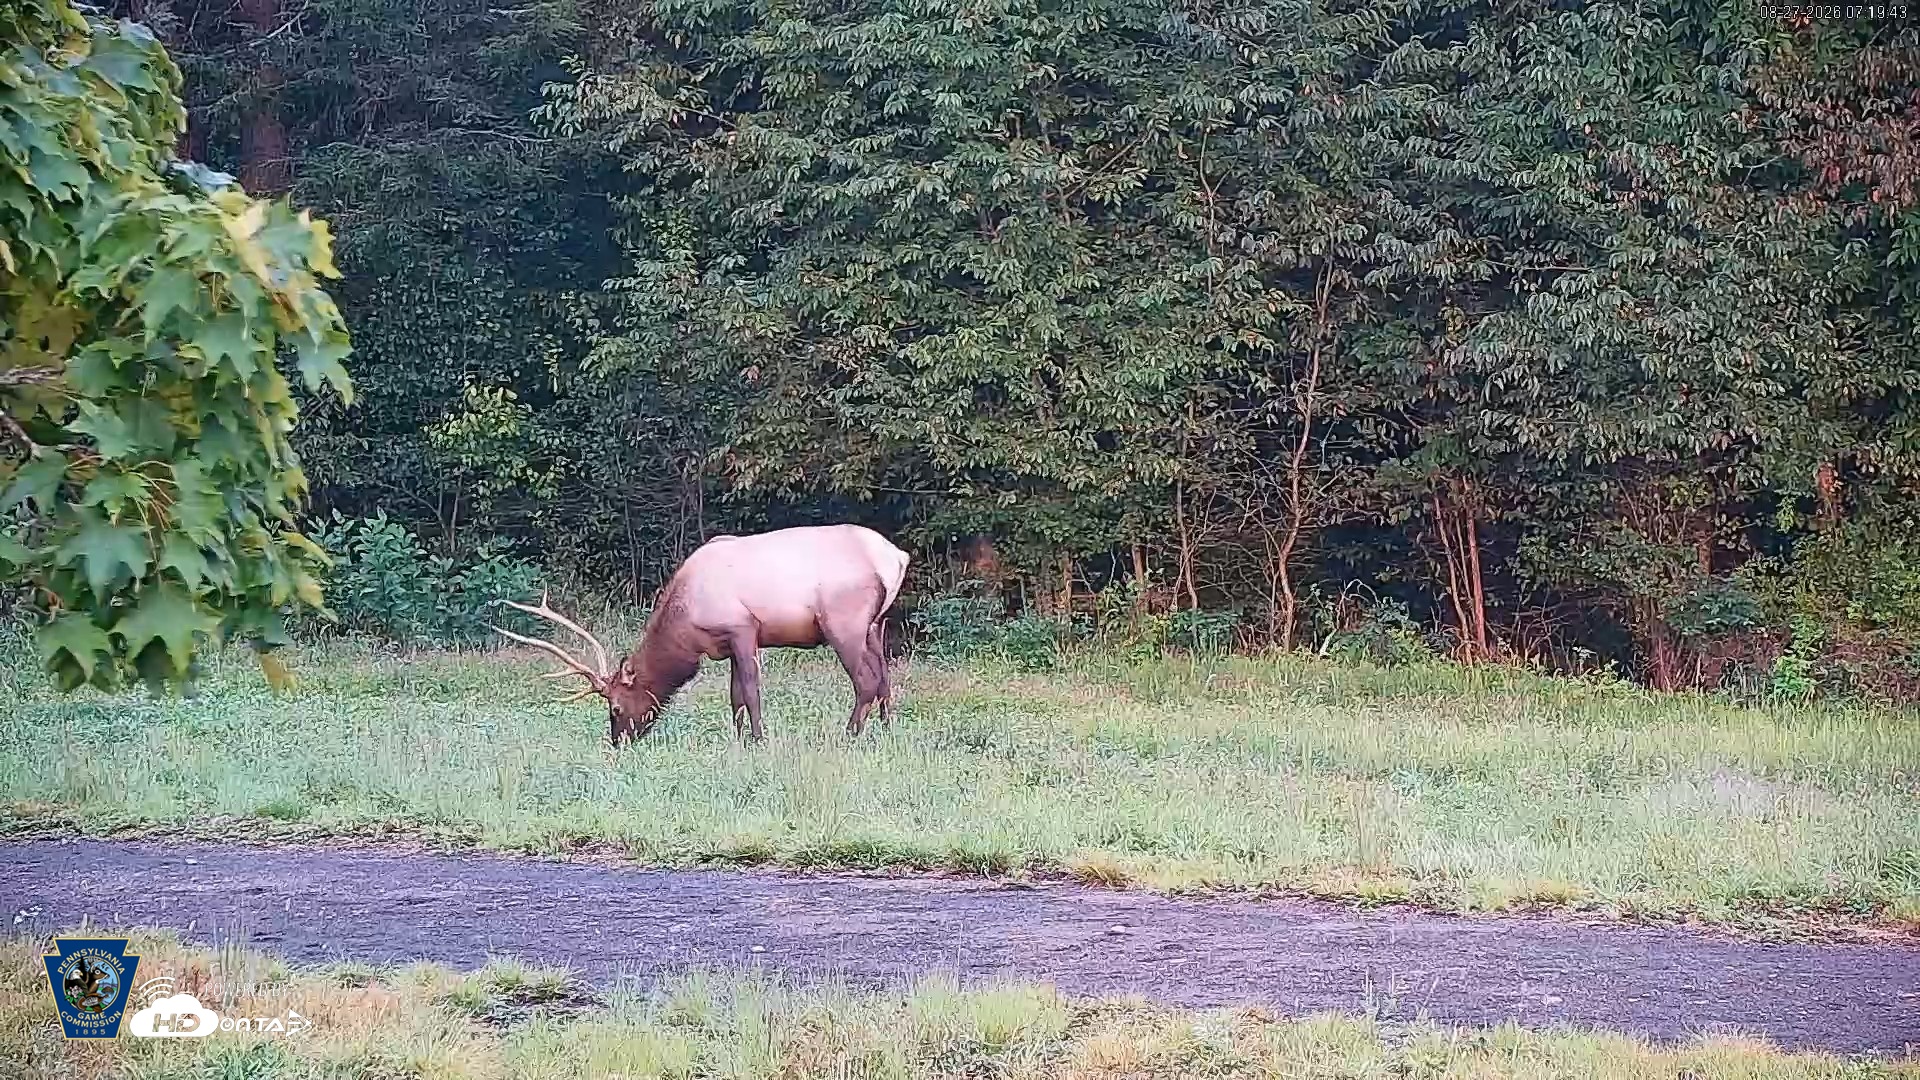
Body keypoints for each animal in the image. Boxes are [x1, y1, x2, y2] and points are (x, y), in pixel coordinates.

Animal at [489, 524, 911, 744]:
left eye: (615, 708)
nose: (618, 742)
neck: (686, 621)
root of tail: (896, 558)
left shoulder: (742, 627)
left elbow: (751, 691)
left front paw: (759, 739)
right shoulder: (727, 643)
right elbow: (735, 695)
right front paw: (739, 739)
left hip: (843, 621)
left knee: (866, 680)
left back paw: (848, 735)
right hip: (875, 624)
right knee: (885, 677)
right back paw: (887, 732)